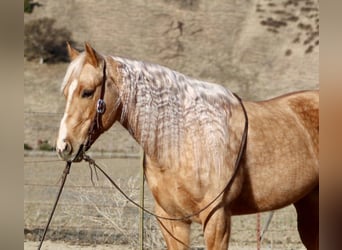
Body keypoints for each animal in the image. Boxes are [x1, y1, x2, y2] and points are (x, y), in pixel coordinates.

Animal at [56, 43, 318, 250]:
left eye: (87, 92)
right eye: (65, 93)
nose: (64, 147)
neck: (187, 138)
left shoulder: (217, 219)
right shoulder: (172, 220)